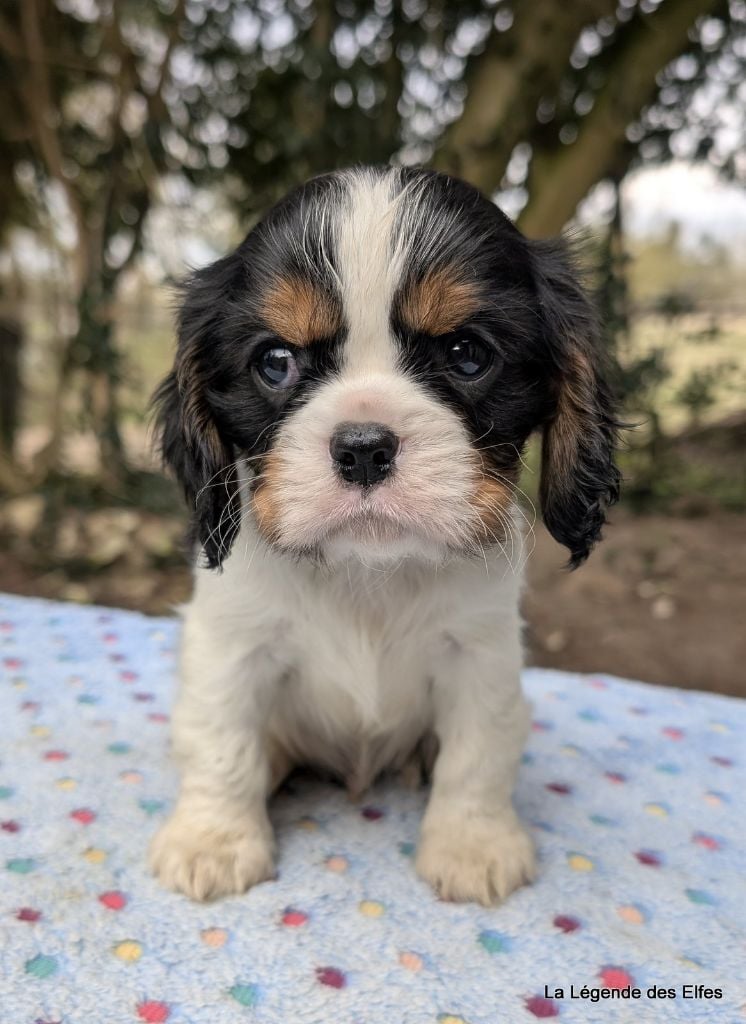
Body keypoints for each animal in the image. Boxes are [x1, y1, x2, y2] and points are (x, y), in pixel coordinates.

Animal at [147, 165, 618, 905]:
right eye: (275, 362)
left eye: (467, 355)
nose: (364, 446)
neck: (367, 572)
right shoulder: (231, 644)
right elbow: (221, 739)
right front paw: (213, 840)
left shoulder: (480, 653)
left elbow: (479, 752)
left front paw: (472, 844)